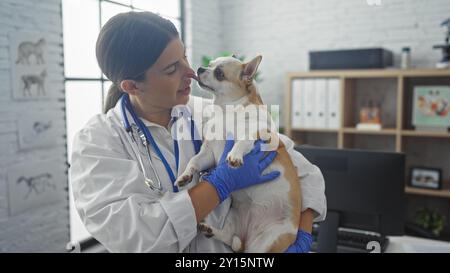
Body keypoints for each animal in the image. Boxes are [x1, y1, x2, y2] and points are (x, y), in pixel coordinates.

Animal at [176, 54, 302, 251]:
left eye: (219, 73)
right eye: (210, 64)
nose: (200, 68)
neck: (225, 111)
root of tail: (247, 239)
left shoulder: (257, 135)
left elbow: (243, 140)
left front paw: (234, 156)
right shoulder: (208, 154)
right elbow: (194, 161)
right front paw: (185, 176)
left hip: (268, 241)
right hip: (233, 218)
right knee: (229, 237)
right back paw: (210, 230)